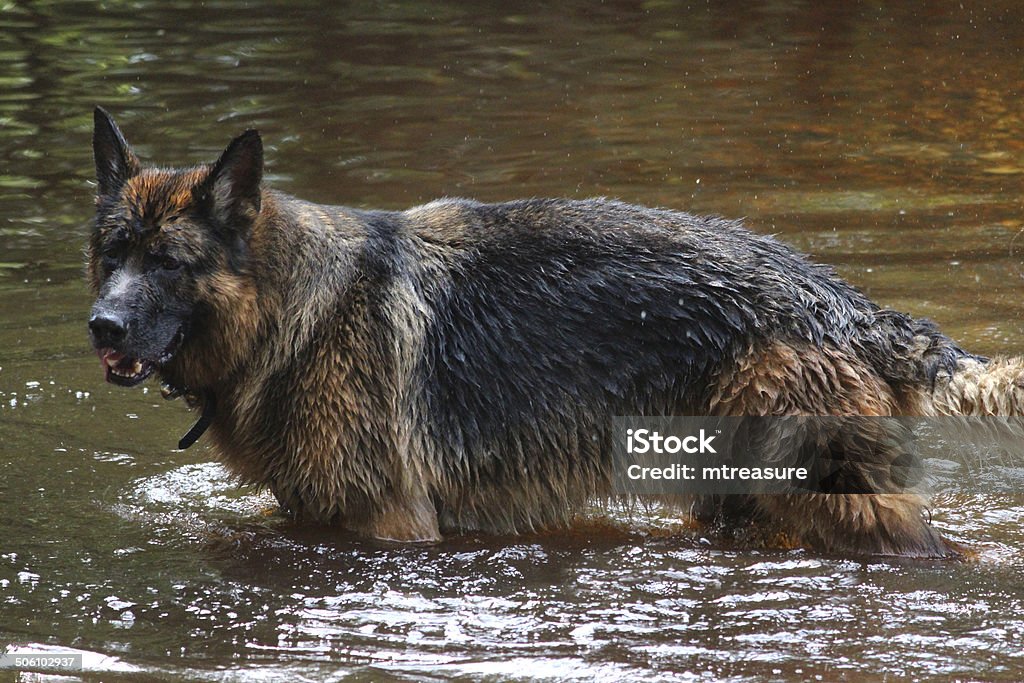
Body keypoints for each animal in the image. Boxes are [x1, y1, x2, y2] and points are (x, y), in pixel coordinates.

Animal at [86, 107, 1024, 557]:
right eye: (111, 254)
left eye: (169, 262)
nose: (101, 325)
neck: (290, 307)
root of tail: (846, 301)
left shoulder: (391, 523)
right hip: (738, 504)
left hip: (844, 508)